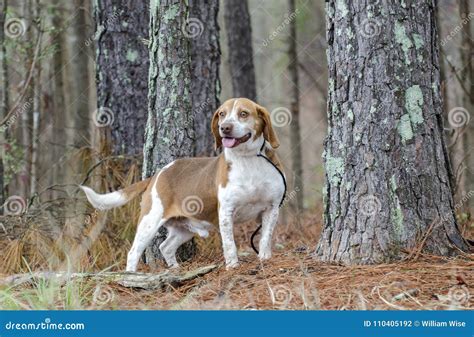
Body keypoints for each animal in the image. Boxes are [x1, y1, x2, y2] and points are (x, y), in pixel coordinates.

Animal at [80, 97, 286, 270]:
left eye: (243, 113)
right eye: (222, 114)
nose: (225, 127)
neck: (248, 159)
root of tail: (157, 175)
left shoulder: (272, 208)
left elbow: (265, 238)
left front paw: (264, 259)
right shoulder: (226, 212)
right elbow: (229, 244)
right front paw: (233, 266)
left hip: (182, 229)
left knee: (166, 247)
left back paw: (175, 269)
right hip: (149, 222)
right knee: (133, 253)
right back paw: (132, 276)